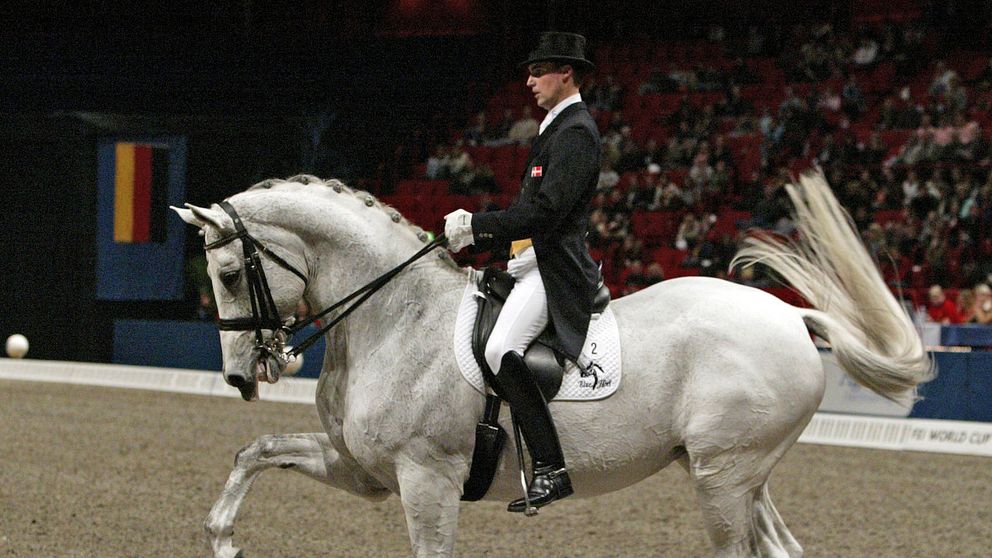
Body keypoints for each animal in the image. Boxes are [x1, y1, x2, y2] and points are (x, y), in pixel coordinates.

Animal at [176, 173, 928, 556]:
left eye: (229, 274)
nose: (242, 376)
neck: (394, 315)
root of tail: (792, 317)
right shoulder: (366, 471)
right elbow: (256, 450)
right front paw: (222, 537)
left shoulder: (425, 480)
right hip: (741, 476)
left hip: (723, 478)